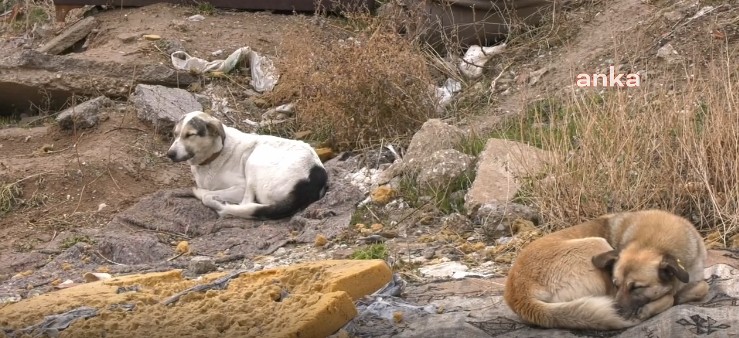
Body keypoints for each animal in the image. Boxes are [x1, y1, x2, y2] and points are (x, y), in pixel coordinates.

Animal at [169, 111, 330, 219]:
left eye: (190, 135)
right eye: (175, 134)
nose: (169, 154)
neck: (215, 154)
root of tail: (313, 177)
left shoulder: (240, 187)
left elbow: (207, 196)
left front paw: (206, 194)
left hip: (254, 161)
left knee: (245, 204)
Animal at [506, 209, 708, 330]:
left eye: (637, 287)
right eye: (616, 284)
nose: (616, 309)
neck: (655, 242)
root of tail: (518, 293)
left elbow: (702, 286)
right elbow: (673, 295)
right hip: (597, 243)